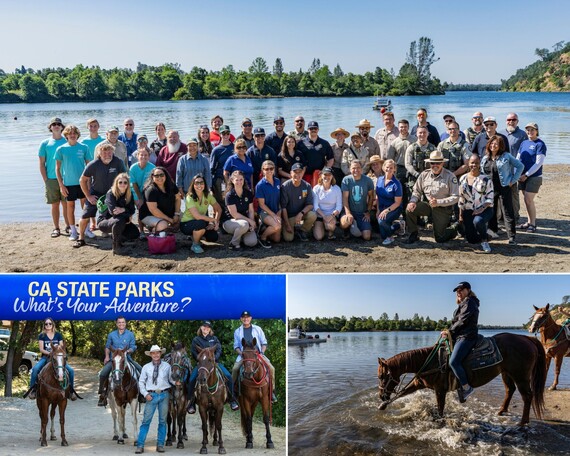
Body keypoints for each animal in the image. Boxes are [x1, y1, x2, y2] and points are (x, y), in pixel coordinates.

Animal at [374, 332, 544, 428]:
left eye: (382, 376)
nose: (381, 395)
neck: (430, 361)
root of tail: (526, 338)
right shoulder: (418, 384)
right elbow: (402, 393)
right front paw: (383, 405)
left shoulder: (440, 390)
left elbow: (440, 409)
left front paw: (439, 422)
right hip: (506, 373)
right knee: (510, 390)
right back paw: (502, 410)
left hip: (521, 376)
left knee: (527, 396)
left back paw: (523, 422)